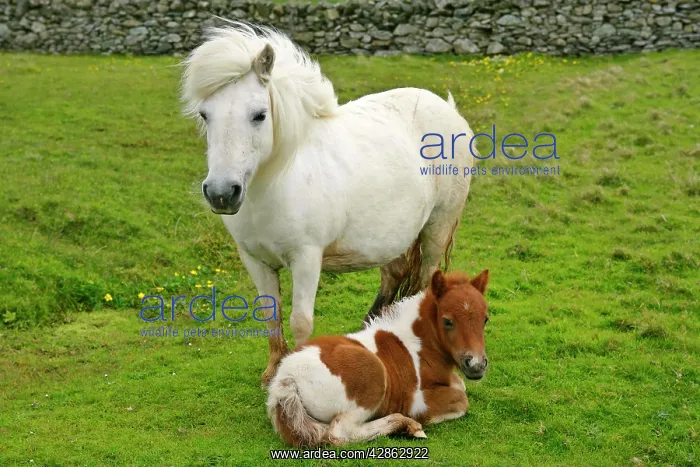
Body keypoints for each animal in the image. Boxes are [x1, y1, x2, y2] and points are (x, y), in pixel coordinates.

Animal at [182, 22, 476, 385]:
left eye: (259, 115)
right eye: (205, 115)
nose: (222, 192)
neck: (276, 184)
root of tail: (449, 110)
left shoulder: (307, 259)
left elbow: (300, 321)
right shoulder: (255, 260)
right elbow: (270, 312)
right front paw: (272, 371)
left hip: (437, 228)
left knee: (423, 281)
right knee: (393, 276)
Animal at [267, 269, 490, 447]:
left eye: (485, 319)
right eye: (447, 321)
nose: (476, 364)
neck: (419, 347)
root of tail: (287, 378)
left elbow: (461, 386)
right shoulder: (417, 401)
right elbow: (461, 400)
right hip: (374, 377)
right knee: (340, 432)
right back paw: (407, 424)